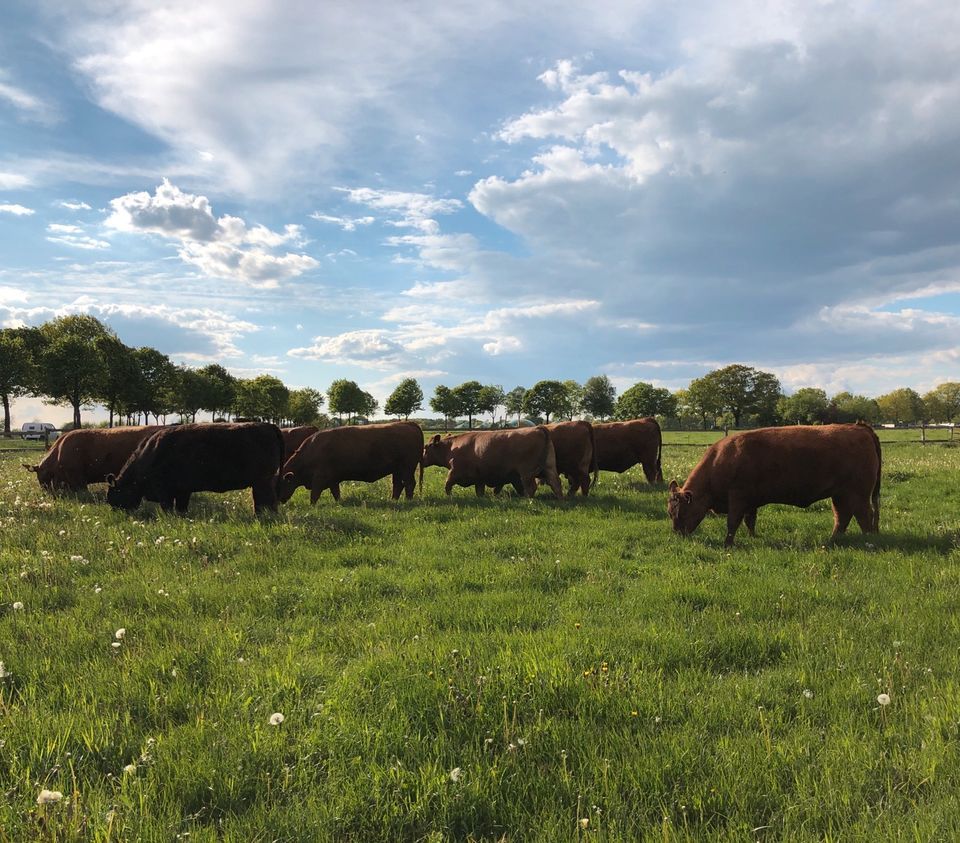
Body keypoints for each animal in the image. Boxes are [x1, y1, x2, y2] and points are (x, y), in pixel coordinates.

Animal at [108, 422, 284, 516]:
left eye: (115, 494)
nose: (117, 514)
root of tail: (268, 425)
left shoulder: (163, 489)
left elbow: (167, 507)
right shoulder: (183, 490)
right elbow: (181, 508)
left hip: (262, 482)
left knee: (266, 501)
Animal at [278, 420, 428, 502]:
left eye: (277, 485)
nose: (278, 501)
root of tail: (408, 423)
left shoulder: (319, 479)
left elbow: (314, 496)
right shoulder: (333, 480)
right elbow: (336, 493)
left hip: (407, 468)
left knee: (409, 484)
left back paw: (408, 500)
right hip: (397, 470)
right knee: (398, 485)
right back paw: (393, 501)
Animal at [424, 428, 568, 502]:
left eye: (426, 447)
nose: (422, 458)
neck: (452, 447)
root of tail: (538, 428)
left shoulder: (454, 472)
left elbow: (447, 485)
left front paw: (449, 497)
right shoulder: (480, 478)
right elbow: (480, 491)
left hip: (526, 473)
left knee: (531, 487)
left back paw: (528, 500)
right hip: (549, 467)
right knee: (556, 483)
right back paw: (560, 499)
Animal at [668, 422, 876, 548]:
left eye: (681, 512)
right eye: (670, 512)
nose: (678, 535)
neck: (721, 460)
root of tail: (859, 427)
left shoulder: (738, 498)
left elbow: (733, 522)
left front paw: (728, 544)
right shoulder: (750, 503)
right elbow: (750, 521)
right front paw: (753, 537)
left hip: (858, 495)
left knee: (864, 516)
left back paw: (868, 541)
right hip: (840, 495)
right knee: (842, 517)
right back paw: (832, 540)